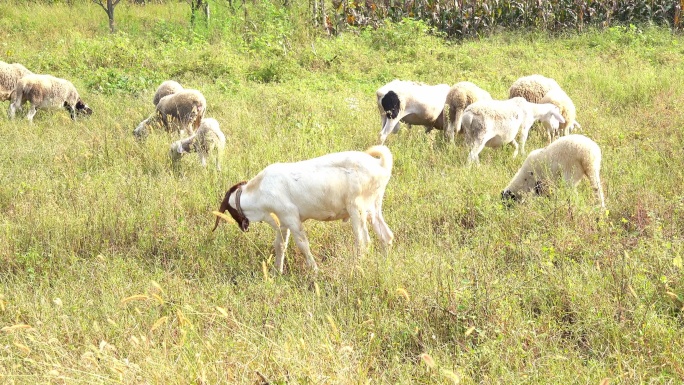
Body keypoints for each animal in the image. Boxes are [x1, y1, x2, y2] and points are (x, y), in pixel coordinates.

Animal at [214, 145, 396, 272]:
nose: (242, 226)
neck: (259, 190)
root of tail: (380, 165)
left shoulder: (292, 218)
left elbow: (302, 244)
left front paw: (315, 270)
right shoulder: (283, 221)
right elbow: (280, 245)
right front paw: (276, 272)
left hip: (356, 209)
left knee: (363, 242)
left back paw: (358, 268)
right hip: (373, 207)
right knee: (386, 235)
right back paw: (384, 265)